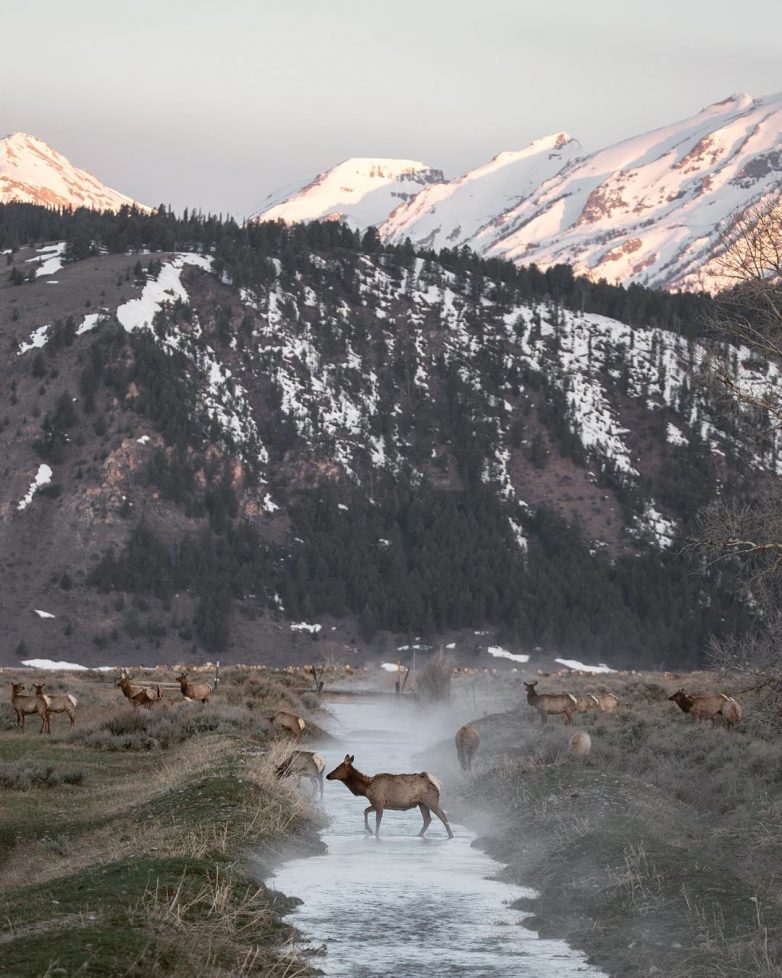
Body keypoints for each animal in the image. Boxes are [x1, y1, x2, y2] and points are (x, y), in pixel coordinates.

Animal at [328, 756, 456, 840]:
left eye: (338, 767)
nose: (327, 775)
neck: (366, 789)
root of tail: (437, 783)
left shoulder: (379, 802)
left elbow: (377, 821)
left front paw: (375, 833)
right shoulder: (376, 803)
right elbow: (365, 811)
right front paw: (369, 830)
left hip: (431, 800)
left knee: (443, 816)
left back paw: (451, 836)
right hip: (422, 803)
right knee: (427, 819)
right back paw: (419, 835)